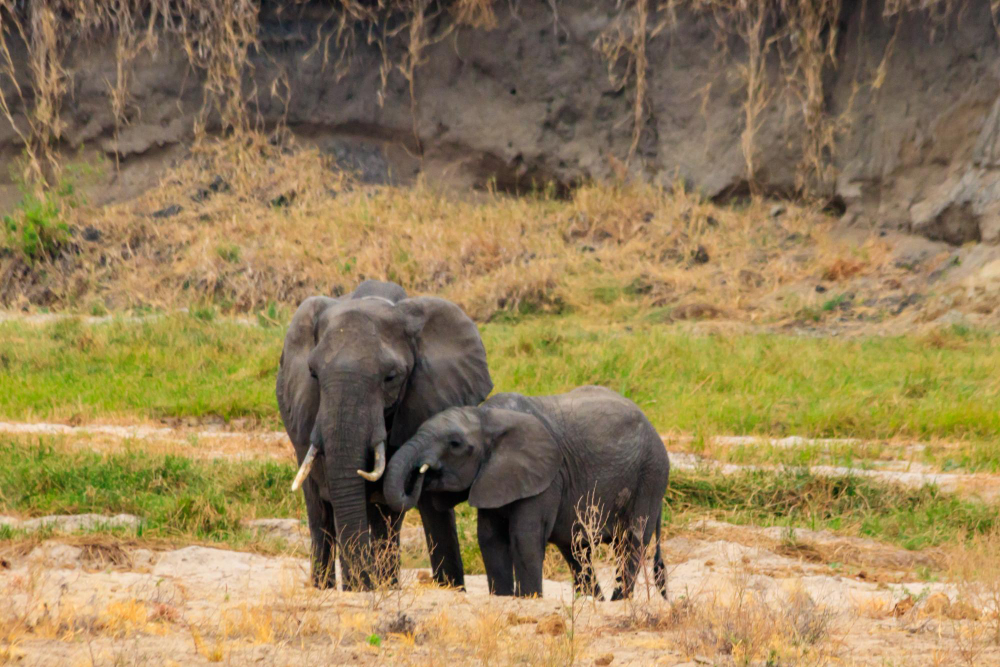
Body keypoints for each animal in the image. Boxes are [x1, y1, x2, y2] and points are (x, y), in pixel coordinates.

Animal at [383, 385, 670, 599]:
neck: (487, 416)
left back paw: (619, 601)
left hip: (650, 475)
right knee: (577, 552)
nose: (422, 472)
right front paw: (503, 598)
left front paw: (528, 598)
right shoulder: (493, 476)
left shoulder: (548, 477)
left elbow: (524, 538)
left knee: (630, 542)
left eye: (455, 444)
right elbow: (490, 538)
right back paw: (594, 601)